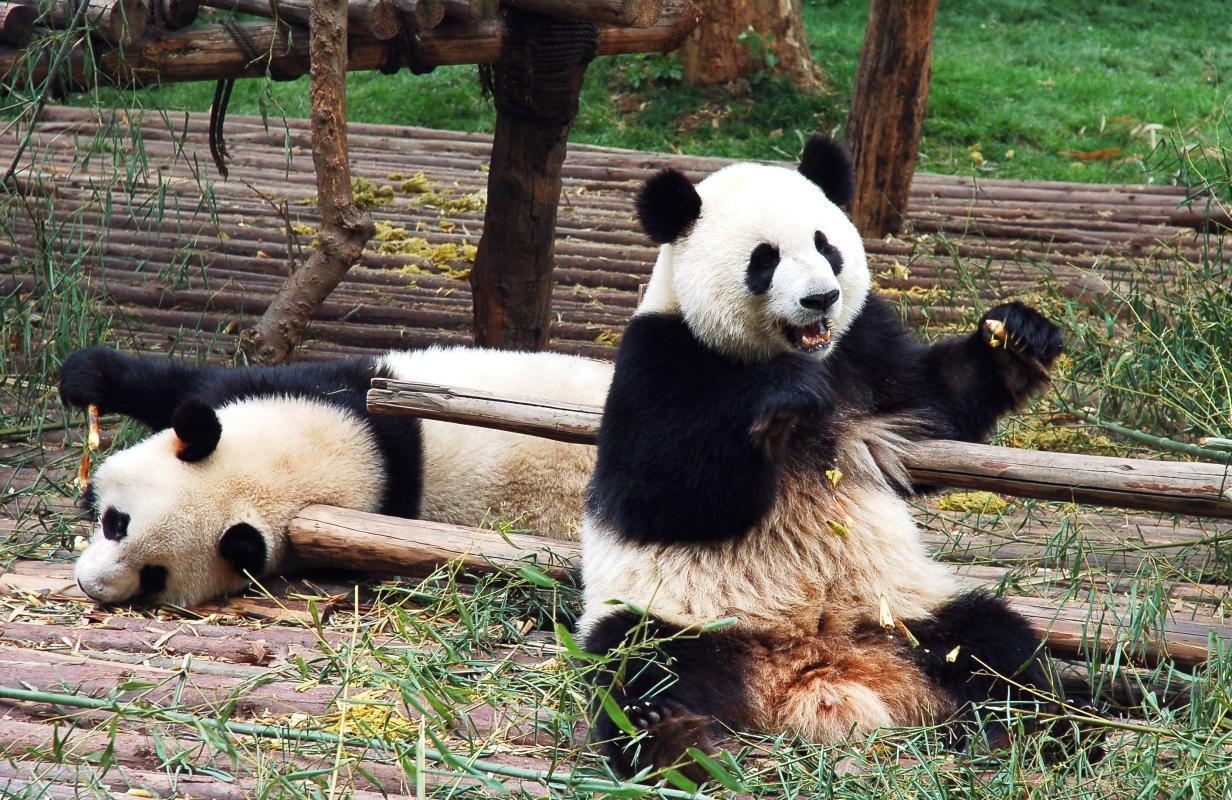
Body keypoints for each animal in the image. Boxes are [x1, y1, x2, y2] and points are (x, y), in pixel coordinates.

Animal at [61, 345, 611, 606]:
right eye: (117, 523)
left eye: (154, 574)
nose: (91, 585)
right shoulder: (322, 384)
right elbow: (184, 390)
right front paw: (86, 377)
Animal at [581, 137, 1064, 774]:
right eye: (763, 260)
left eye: (825, 245)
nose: (821, 298)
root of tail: (815, 668)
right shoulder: (658, 358)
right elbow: (657, 493)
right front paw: (783, 399)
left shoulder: (865, 350)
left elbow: (939, 402)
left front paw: (1017, 336)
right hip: (683, 614)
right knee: (638, 660)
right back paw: (668, 736)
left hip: (905, 615)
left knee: (995, 646)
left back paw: (1038, 730)